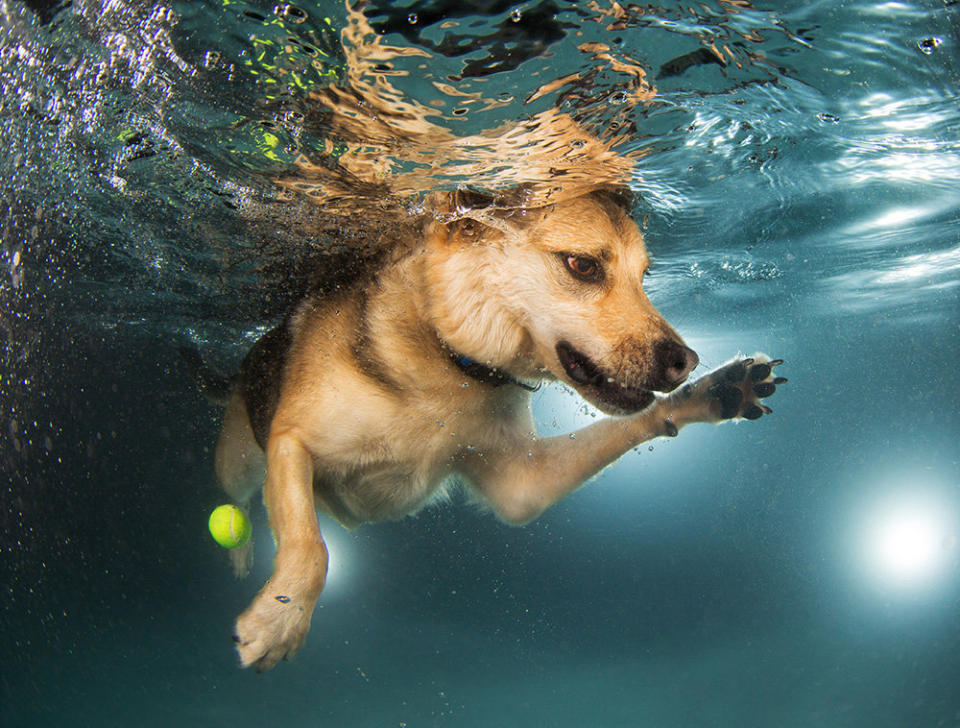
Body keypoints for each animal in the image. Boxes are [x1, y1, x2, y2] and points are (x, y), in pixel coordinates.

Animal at [208, 186, 780, 672]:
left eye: (645, 276)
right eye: (582, 266)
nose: (687, 362)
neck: (452, 361)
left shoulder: (520, 484)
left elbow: (633, 424)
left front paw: (713, 392)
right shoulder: (290, 441)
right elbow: (310, 546)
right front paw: (280, 619)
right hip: (240, 459)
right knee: (236, 498)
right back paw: (239, 554)